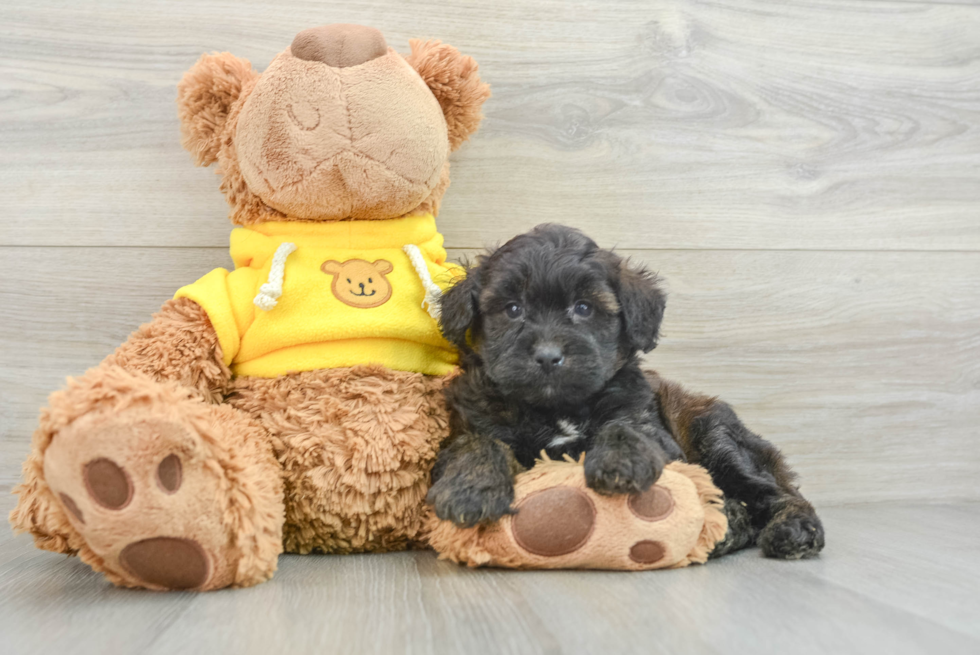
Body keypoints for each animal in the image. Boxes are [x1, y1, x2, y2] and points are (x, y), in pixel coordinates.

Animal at [432, 224, 824, 560]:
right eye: (513, 309)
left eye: (584, 308)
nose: (547, 355)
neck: (557, 408)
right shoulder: (470, 422)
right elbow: (475, 443)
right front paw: (472, 489)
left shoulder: (650, 424)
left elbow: (625, 425)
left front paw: (621, 461)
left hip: (716, 436)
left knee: (773, 491)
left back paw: (794, 529)